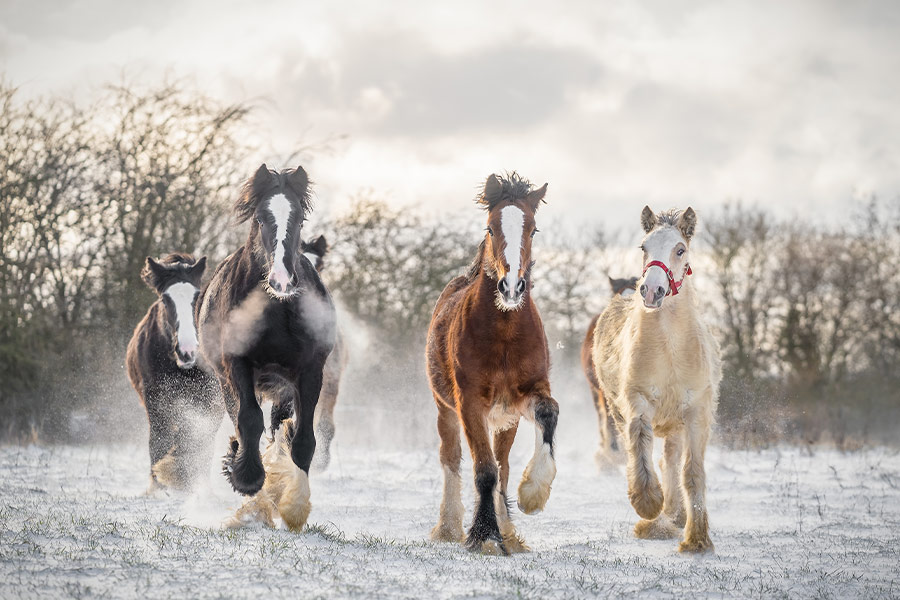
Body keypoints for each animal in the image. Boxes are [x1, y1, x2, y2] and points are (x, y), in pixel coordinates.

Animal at [125, 253, 222, 491]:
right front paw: (159, 486)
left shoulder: (211, 402)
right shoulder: (156, 401)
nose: (187, 351)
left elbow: (198, 442)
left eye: (197, 296)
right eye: (165, 300)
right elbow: (160, 441)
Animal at [197, 164, 336, 531]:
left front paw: (295, 506)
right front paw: (248, 480)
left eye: (299, 218)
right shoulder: (237, 365)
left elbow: (302, 440)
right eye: (261, 218)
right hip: (229, 381)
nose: (282, 280)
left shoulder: (309, 371)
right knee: (245, 422)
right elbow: (248, 421)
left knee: (277, 428)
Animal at [425, 172, 559, 555]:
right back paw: (449, 527)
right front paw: (484, 536)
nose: (511, 287)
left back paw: (509, 530)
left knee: (504, 465)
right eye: (490, 228)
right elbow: (483, 470)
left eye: (533, 229)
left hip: (505, 421)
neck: (505, 333)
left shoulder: (526, 395)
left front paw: (533, 495)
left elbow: (549, 414)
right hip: (445, 410)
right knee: (452, 458)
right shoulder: (469, 402)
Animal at [591, 206, 721, 553]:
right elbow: (639, 444)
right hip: (617, 411)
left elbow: (692, 472)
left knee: (672, 461)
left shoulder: (696, 411)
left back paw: (676, 514)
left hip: (676, 423)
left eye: (680, 249)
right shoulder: (637, 400)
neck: (670, 349)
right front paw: (648, 504)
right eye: (643, 247)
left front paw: (697, 538)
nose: (651, 290)